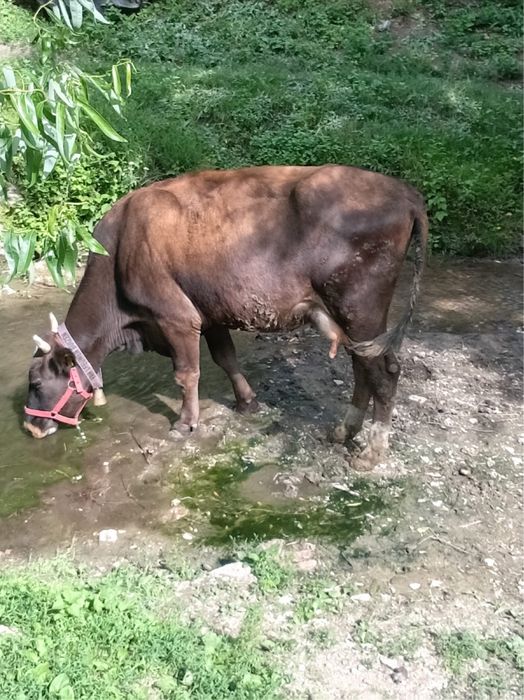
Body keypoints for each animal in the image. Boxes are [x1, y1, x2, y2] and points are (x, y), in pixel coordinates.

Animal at [23, 165, 428, 470]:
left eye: (37, 383)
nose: (30, 430)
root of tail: (405, 192)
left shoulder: (177, 317)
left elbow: (187, 373)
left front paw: (186, 422)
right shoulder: (210, 313)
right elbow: (225, 358)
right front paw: (247, 401)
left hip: (360, 308)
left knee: (385, 371)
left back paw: (373, 451)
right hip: (354, 321)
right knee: (362, 368)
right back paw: (345, 431)